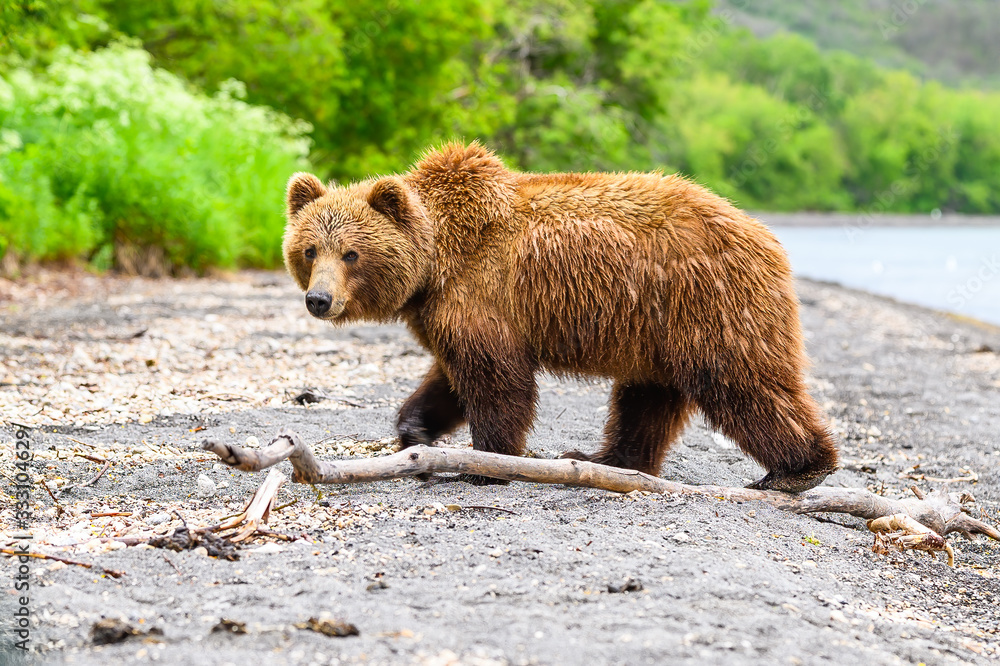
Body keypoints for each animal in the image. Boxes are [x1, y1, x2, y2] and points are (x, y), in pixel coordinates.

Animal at [282, 142, 839, 492]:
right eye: (310, 249)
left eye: (351, 253)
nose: (319, 300)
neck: (436, 262)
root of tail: (765, 235)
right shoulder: (450, 311)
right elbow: (450, 378)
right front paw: (417, 431)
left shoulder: (483, 292)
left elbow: (497, 381)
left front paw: (485, 462)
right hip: (658, 327)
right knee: (647, 396)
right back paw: (606, 460)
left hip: (708, 302)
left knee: (743, 381)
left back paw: (798, 469)